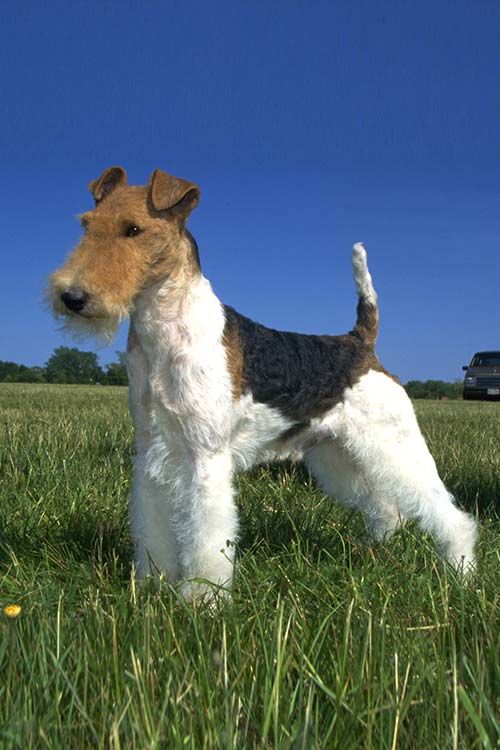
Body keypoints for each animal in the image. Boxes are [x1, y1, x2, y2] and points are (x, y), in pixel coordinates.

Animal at [49, 166, 476, 600]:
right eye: (86, 225)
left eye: (133, 229)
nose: (72, 297)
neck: (165, 333)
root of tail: (361, 341)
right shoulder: (154, 451)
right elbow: (153, 525)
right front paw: (153, 583)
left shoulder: (206, 457)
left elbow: (206, 539)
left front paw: (202, 599)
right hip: (338, 453)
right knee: (386, 509)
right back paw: (370, 552)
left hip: (394, 446)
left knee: (450, 514)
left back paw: (462, 573)